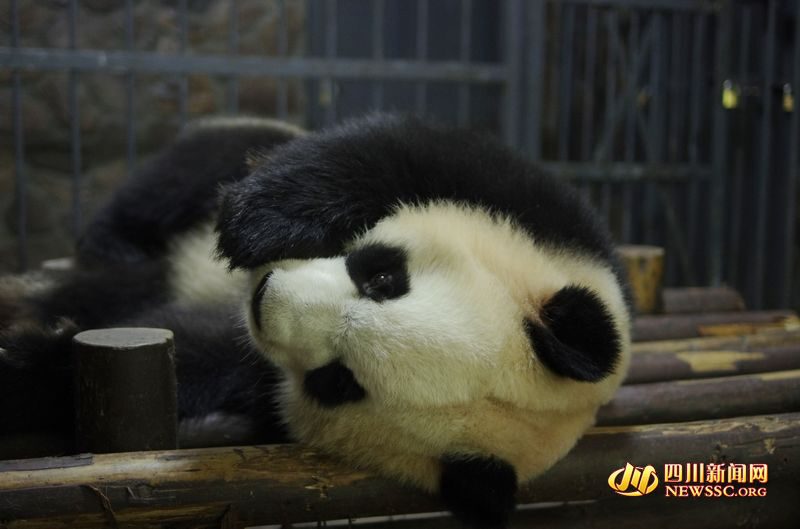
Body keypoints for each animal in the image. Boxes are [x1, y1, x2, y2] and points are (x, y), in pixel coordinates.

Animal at [0, 114, 632, 528]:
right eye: (384, 277)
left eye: (338, 381)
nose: (265, 296)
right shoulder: (549, 220)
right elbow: (389, 153)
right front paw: (254, 222)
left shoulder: (259, 373)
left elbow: (204, 356)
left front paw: (27, 366)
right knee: (191, 168)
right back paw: (114, 243)